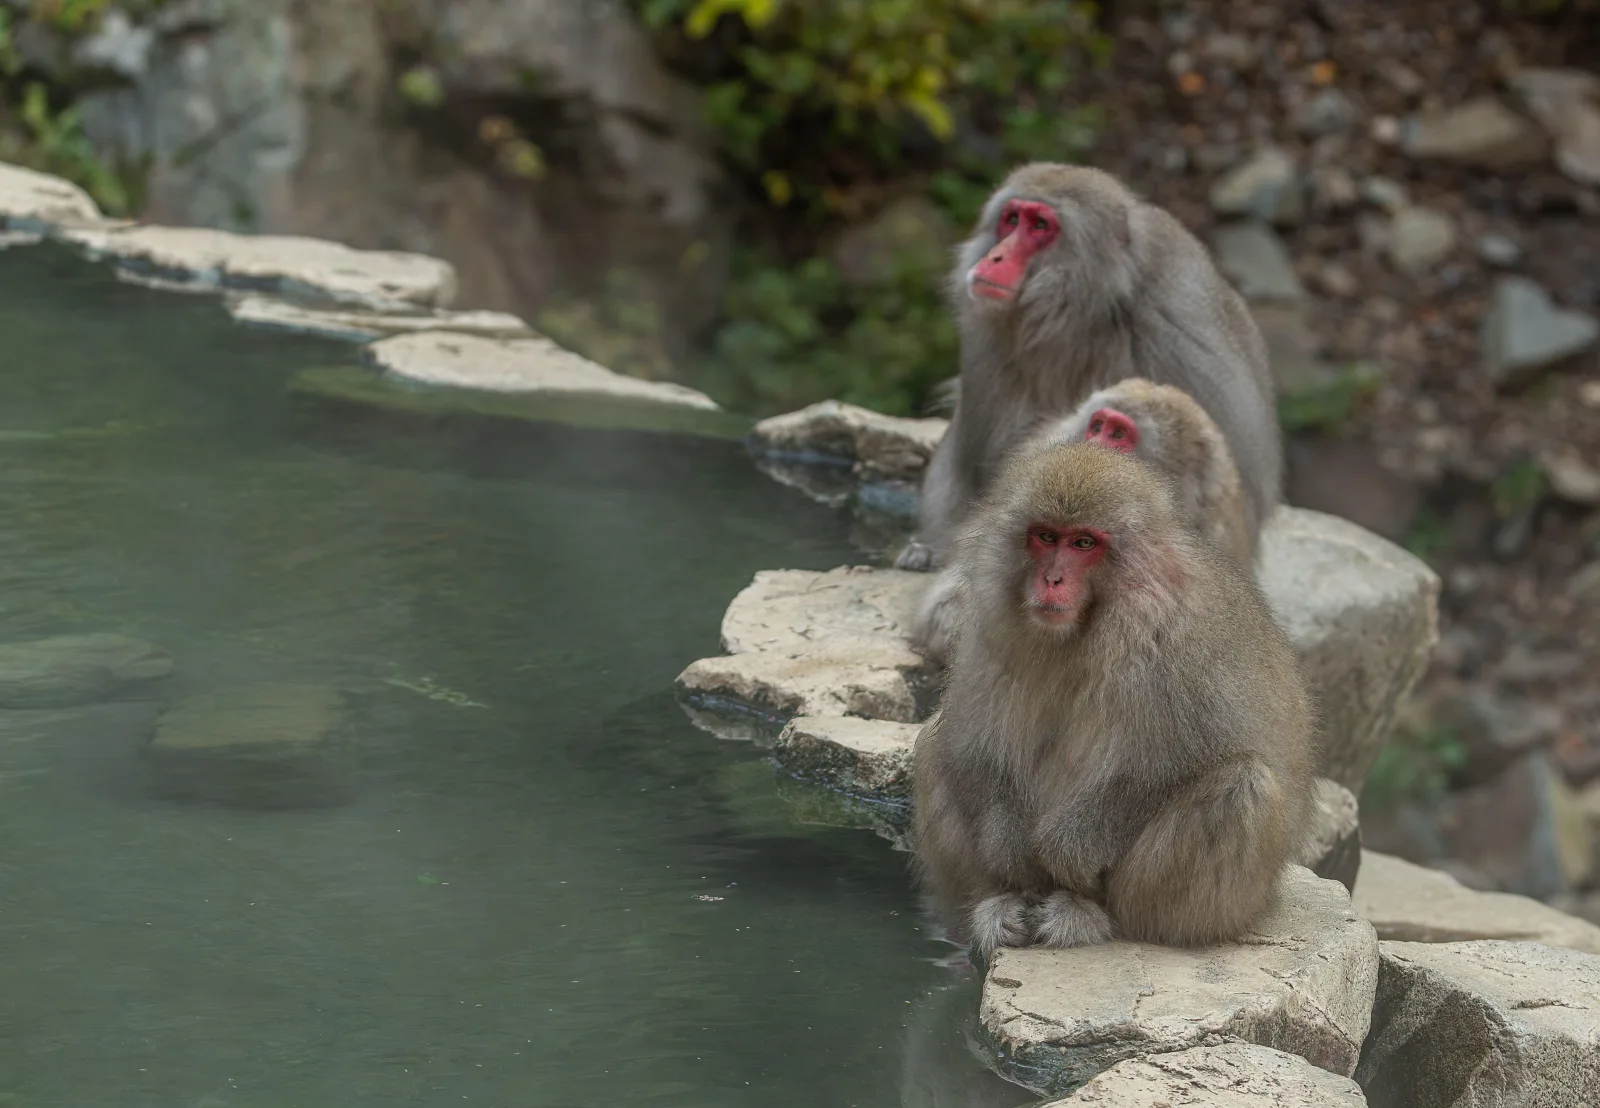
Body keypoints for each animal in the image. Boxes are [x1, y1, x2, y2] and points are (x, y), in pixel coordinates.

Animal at [895, 164, 1281, 575]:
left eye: (1040, 225)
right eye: (1011, 220)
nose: (994, 257)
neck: (1087, 313)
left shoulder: (1180, 332)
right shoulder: (988, 336)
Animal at [909, 441, 1315, 959]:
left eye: (1084, 544)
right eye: (1046, 537)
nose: (1052, 580)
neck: (1091, 625)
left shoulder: (1179, 639)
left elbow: (1172, 764)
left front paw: (1068, 849)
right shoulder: (983, 623)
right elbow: (971, 742)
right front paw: (1008, 848)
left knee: (1243, 785)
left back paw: (1096, 916)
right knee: (932, 744)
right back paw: (1000, 901)